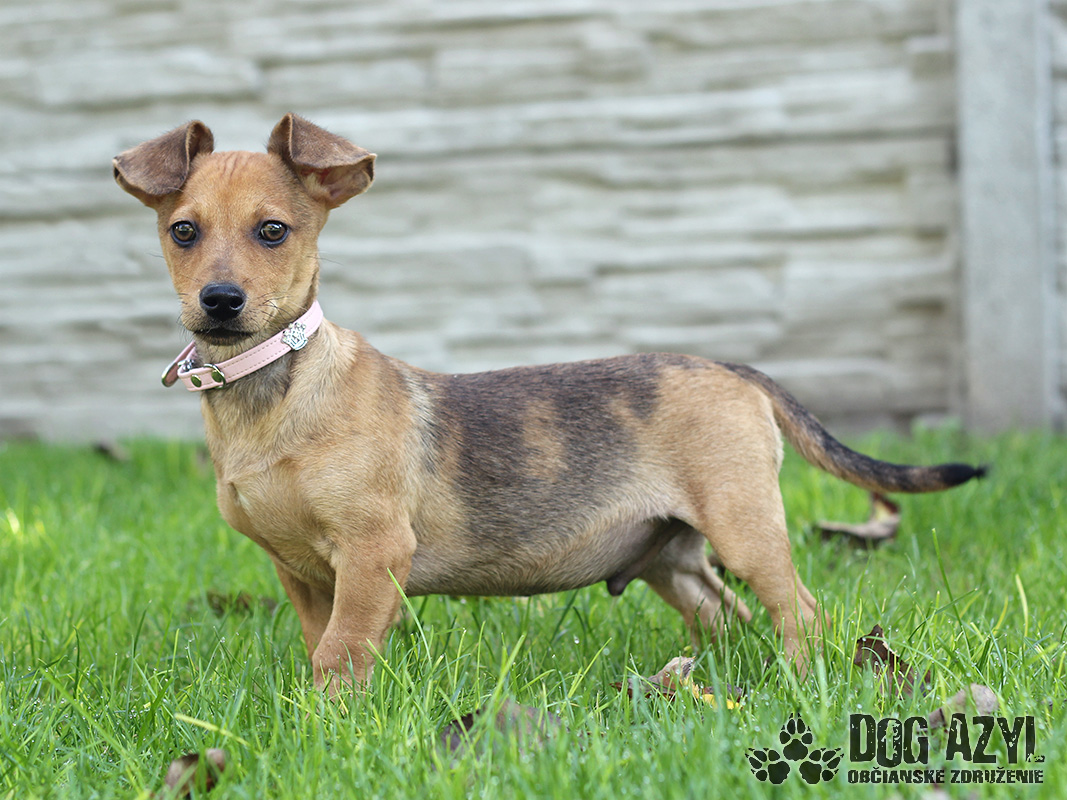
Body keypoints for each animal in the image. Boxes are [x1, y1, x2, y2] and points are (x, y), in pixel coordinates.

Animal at [114, 114, 985, 693]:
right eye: (183, 232)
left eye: (273, 231)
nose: (219, 303)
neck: (273, 388)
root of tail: (730, 368)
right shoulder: (301, 572)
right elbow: (321, 646)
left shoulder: (370, 555)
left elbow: (341, 652)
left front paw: (330, 722)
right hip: (670, 555)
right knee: (722, 616)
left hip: (744, 526)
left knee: (800, 613)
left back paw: (806, 687)